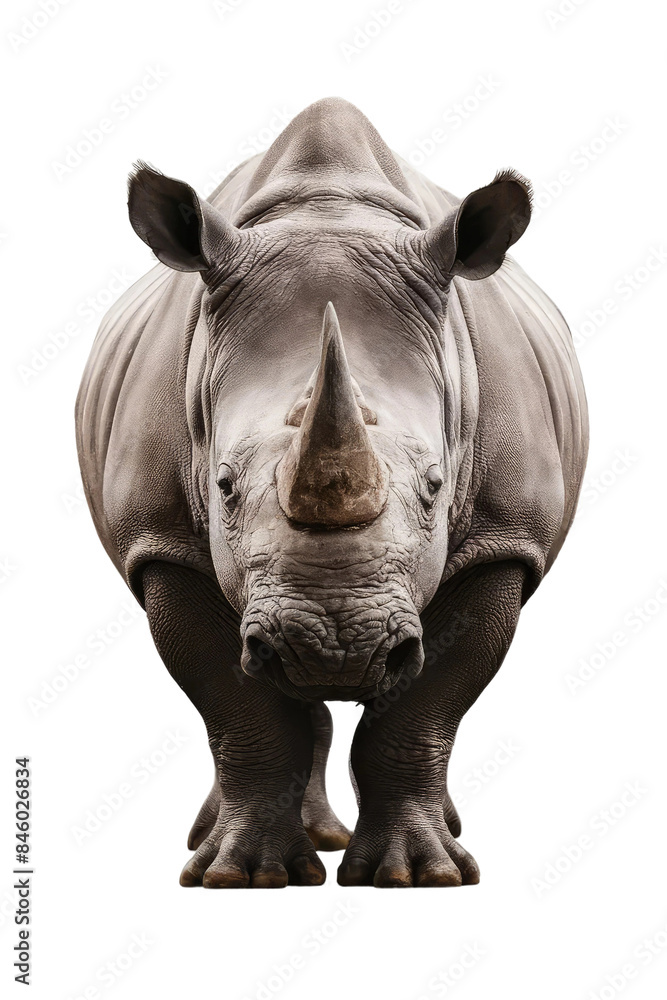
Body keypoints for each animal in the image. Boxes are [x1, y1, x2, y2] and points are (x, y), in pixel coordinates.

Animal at [76, 97, 588, 888]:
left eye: (436, 486)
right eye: (222, 485)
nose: (333, 648)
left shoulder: (504, 539)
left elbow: (422, 708)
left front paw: (420, 876)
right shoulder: (160, 541)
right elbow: (240, 708)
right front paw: (240, 877)